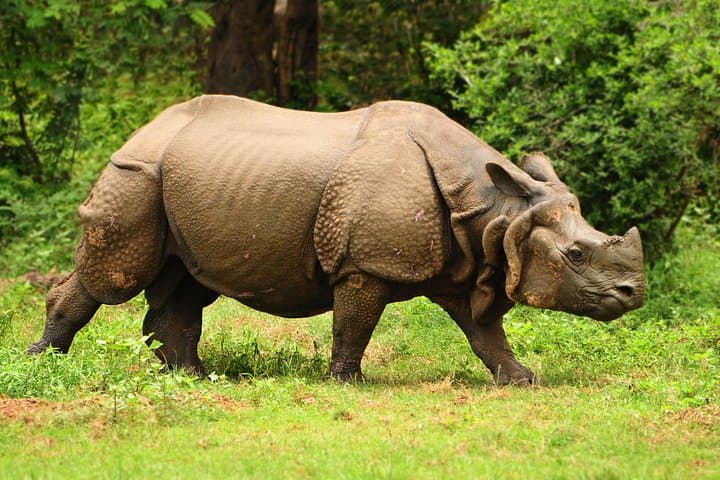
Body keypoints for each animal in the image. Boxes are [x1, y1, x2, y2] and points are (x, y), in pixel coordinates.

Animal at [27, 95, 646, 385]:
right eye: (576, 254)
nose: (634, 294)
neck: (495, 210)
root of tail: (144, 129)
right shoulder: (365, 263)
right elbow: (355, 323)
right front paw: (348, 383)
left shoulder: (467, 263)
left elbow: (485, 333)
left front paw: (523, 381)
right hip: (136, 173)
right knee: (114, 275)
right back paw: (43, 363)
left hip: (181, 180)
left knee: (185, 282)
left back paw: (193, 378)